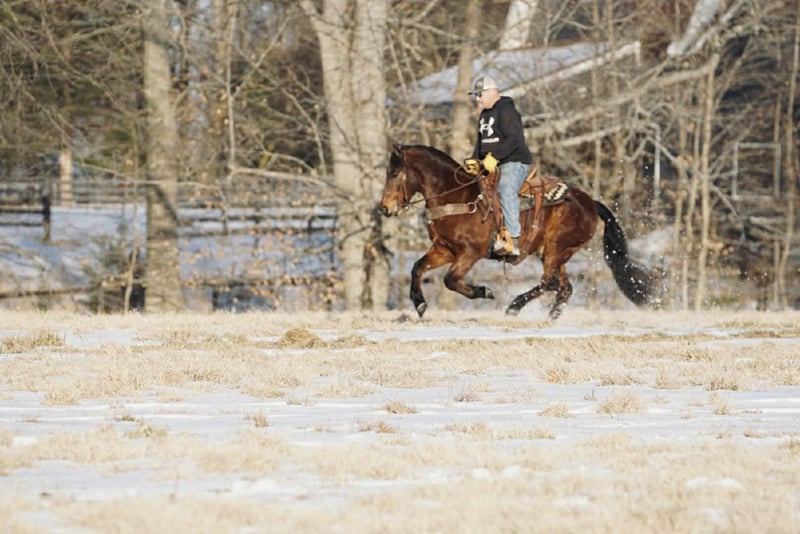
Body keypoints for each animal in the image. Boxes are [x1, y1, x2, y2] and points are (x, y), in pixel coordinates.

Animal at [378, 143, 658, 320]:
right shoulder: (444, 249)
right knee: (563, 288)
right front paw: (420, 304)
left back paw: (514, 307)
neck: (458, 197)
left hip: (556, 248)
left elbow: (450, 280)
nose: (384, 208)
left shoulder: (470, 253)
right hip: (554, 253)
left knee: (549, 283)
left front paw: (486, 291)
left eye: (395, 173)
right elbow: (417, 267)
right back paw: (549, 317)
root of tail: (590, 202)